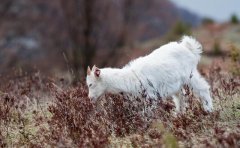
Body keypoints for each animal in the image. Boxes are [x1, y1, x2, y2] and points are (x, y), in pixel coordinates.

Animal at [85, 36, 213, 112]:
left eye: (90, 84)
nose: (90, 98)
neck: (130, 77)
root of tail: (188, 47)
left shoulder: (151, 96)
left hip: (190, 75)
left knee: (203, 89)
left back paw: (208, 110)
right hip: (177, 85)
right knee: (180, 97)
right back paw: (179, 115)